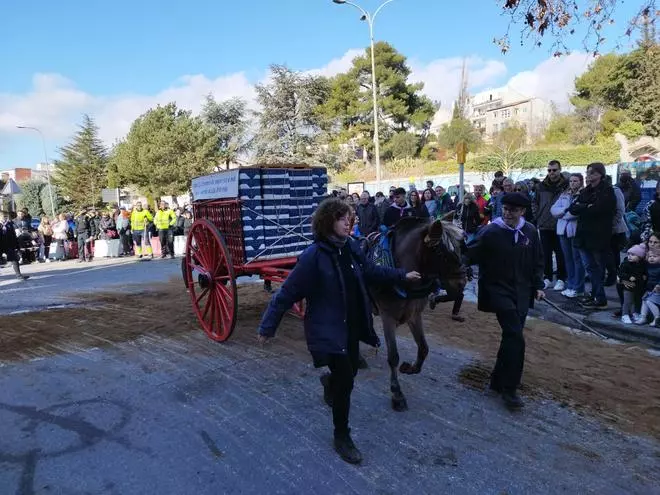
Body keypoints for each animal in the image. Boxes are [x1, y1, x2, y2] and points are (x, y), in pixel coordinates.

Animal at [368, 217, 466, 410]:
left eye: (460, 246)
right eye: (441, 252)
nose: (461, 284)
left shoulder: (414, 315)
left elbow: (424, 348)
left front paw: (410, 367)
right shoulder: (388, 316)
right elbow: (393, 356)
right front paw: (397, 393)